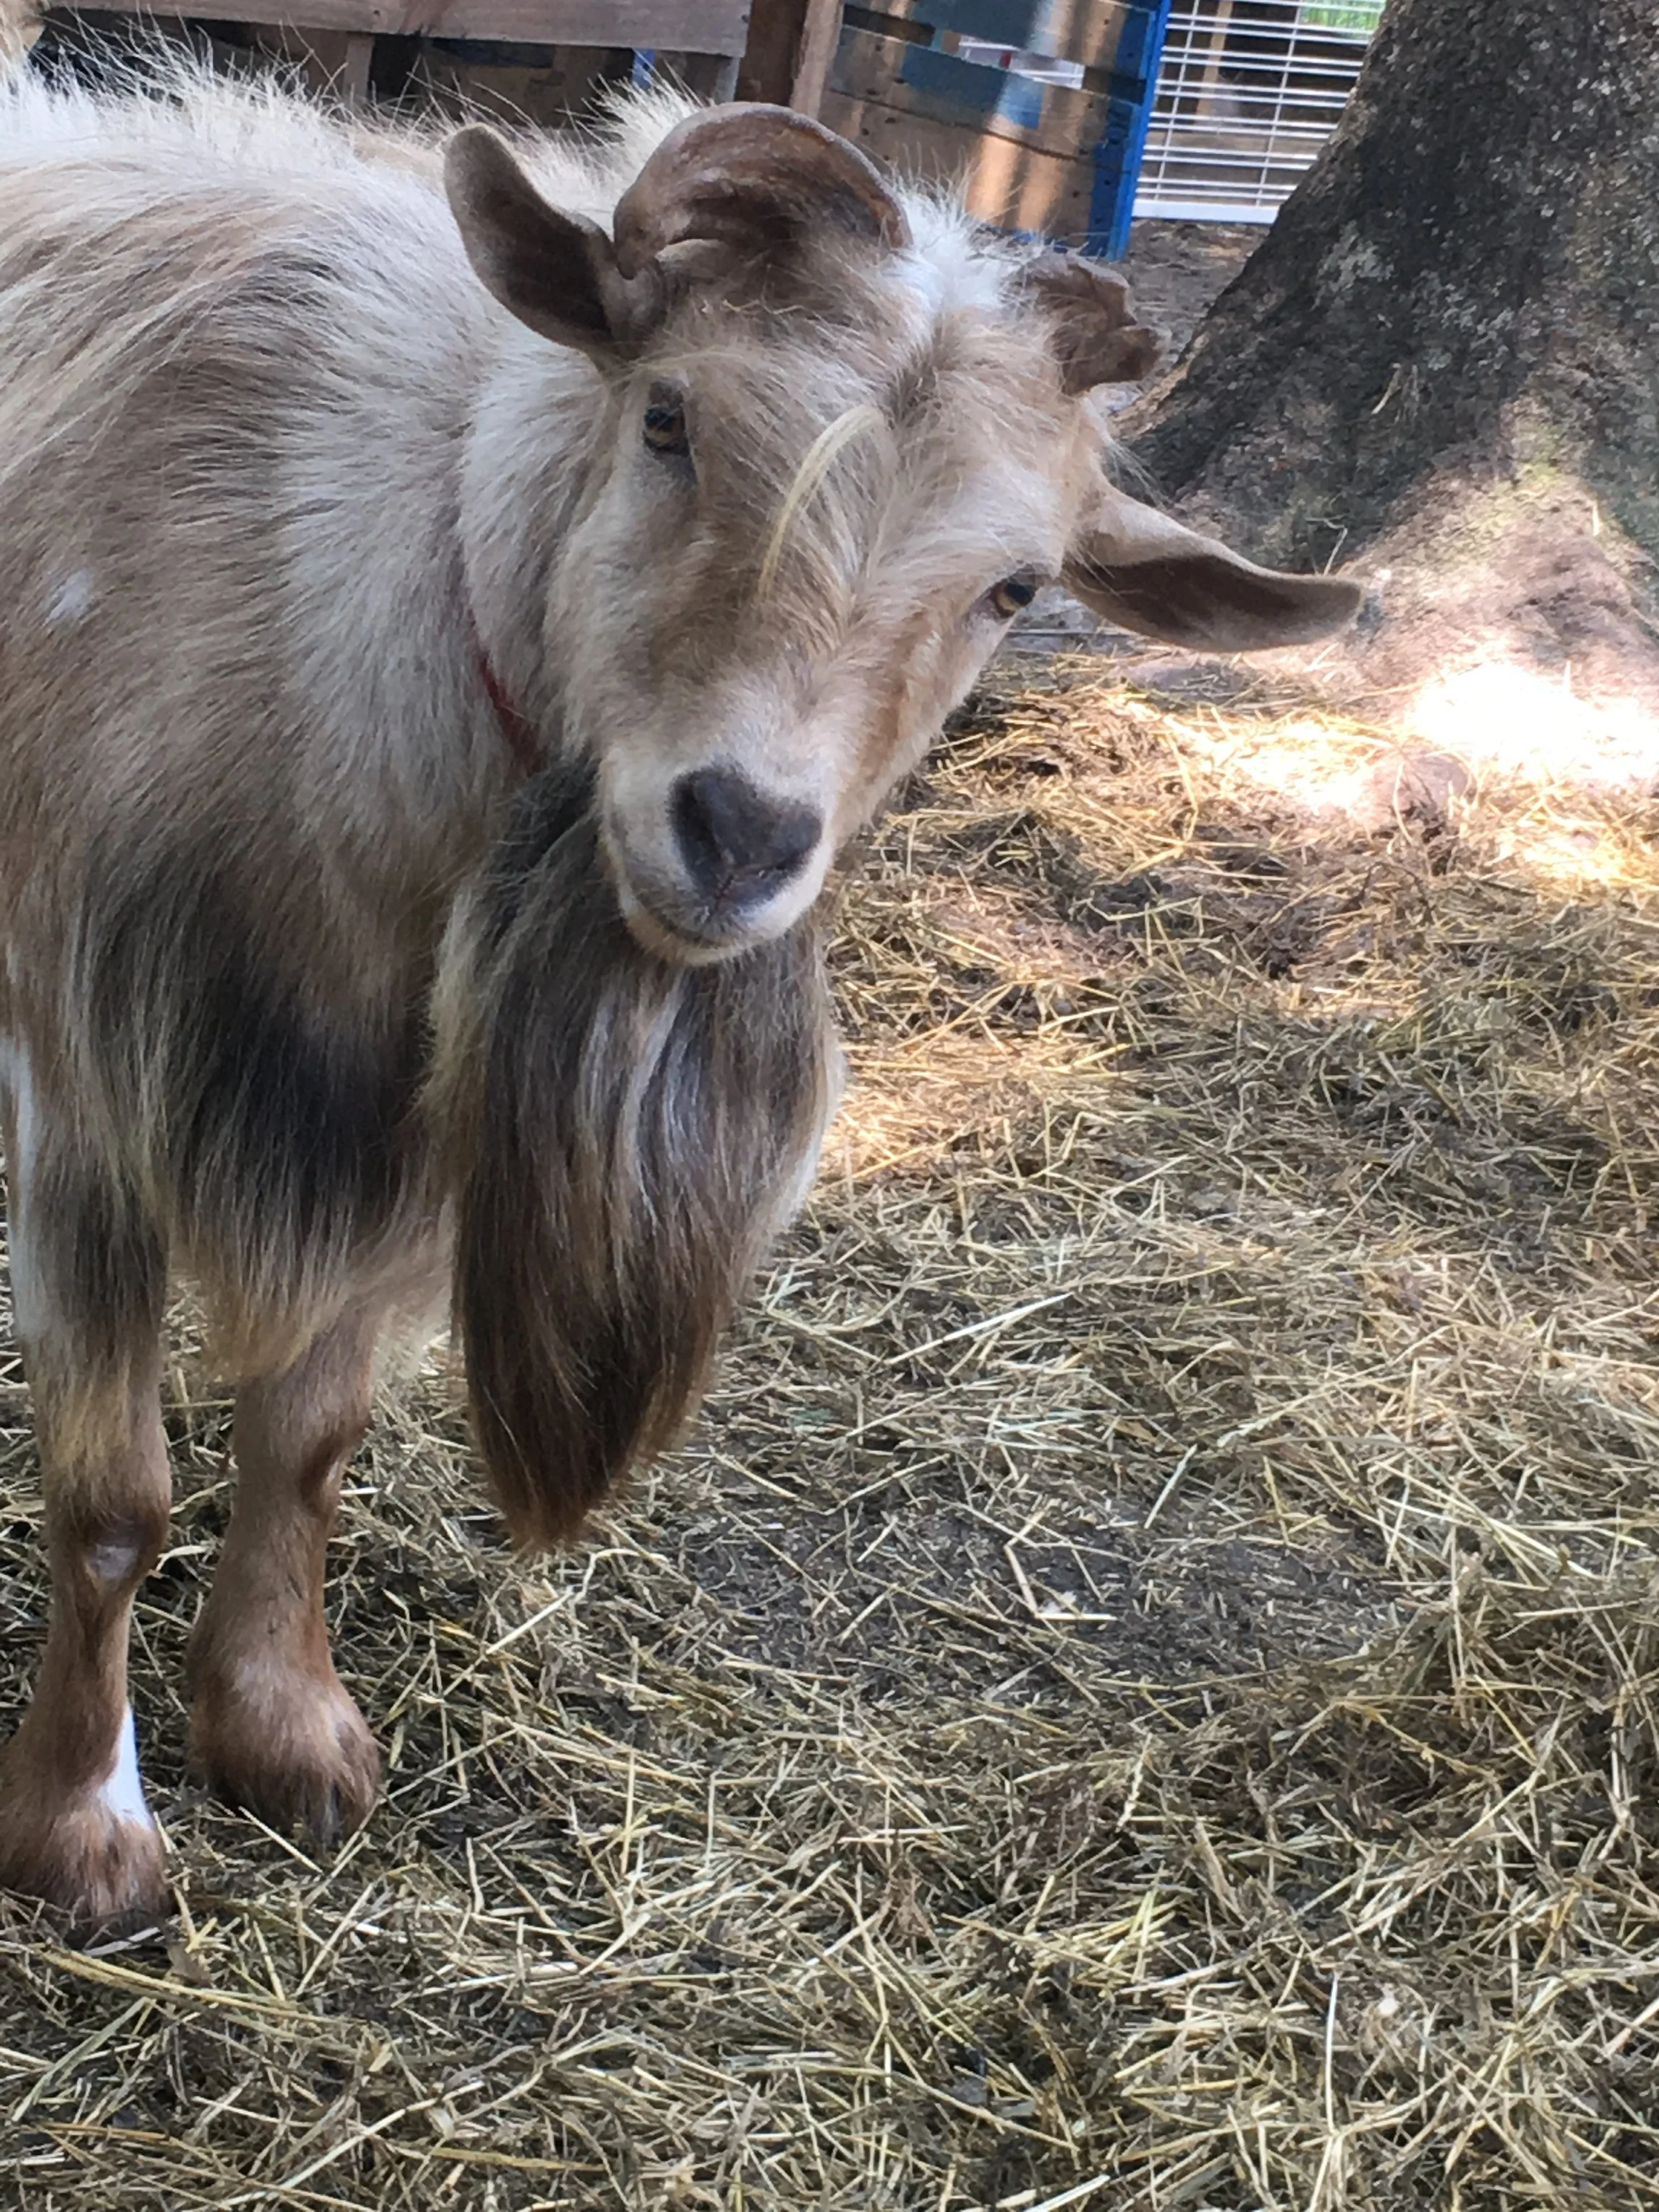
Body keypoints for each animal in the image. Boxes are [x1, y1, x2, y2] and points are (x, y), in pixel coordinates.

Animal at [0, 62, 1360, 1933]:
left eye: (1014, 588)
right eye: (668, 419)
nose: (737, 835)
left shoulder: (390, 1128)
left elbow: (313, 1437)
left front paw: (285, 1730)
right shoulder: (89, 1087)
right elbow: (113, 1500)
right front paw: (83, 1828)